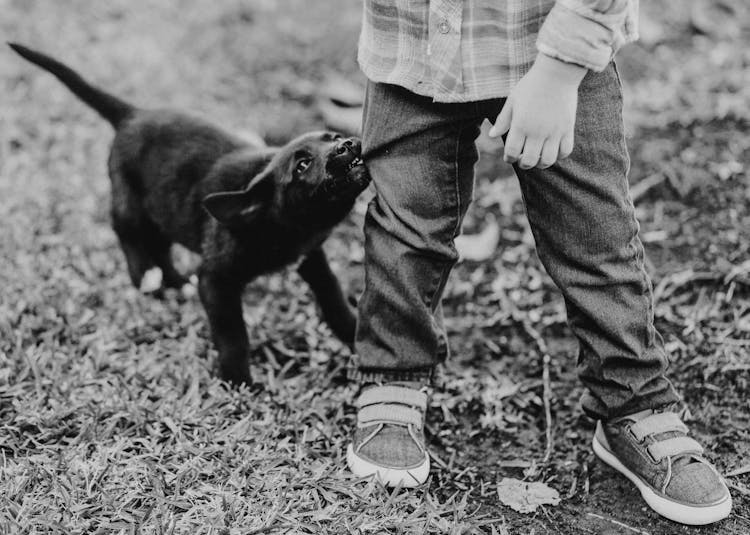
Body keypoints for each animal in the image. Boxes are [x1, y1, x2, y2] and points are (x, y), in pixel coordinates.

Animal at [8, 43, 368, 386]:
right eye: (302, 164)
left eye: (334, 137)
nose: (347, 145)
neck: (285, 225)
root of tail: (133, 115)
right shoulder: (215, 281)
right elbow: (234, 337)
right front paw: (238, 383)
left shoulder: (312, 258)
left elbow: (334, 299)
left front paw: (354, 335)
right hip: (130, 203)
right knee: (128, 234)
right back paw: (146, 279)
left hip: (162, 210)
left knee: (160, 246)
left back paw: (175, 283)